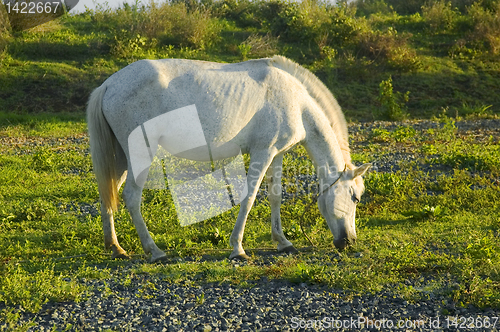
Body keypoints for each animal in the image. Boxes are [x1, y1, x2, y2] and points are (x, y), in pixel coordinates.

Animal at [87, 55, 372, 262]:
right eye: (355, 197)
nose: (349, 242)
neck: (296, 101)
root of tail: (109, 84)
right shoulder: (263, 152)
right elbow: (249, 197)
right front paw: (238, 248)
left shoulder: (276, 154)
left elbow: (275, 196)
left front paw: (283, 242)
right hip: (140, 155)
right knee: (131, 198)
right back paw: (154, 251)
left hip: (122, 159)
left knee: (108, 194)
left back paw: (115, 247)